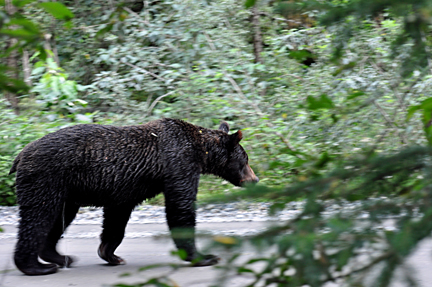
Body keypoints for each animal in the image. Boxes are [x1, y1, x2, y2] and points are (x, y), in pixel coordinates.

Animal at [10, 118, 258, 276]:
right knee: (38, 217)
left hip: (67, 191)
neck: (200, 150)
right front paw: (204, 256)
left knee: (58, 219)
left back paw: (60, 257)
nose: (254, 180)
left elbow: (117, 215)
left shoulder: (128, 185)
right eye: (245, 160)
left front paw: (110, 254)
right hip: (46, 178)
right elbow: (180, 207)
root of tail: (20, 155)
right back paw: (35, 266)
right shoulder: (179, 164)